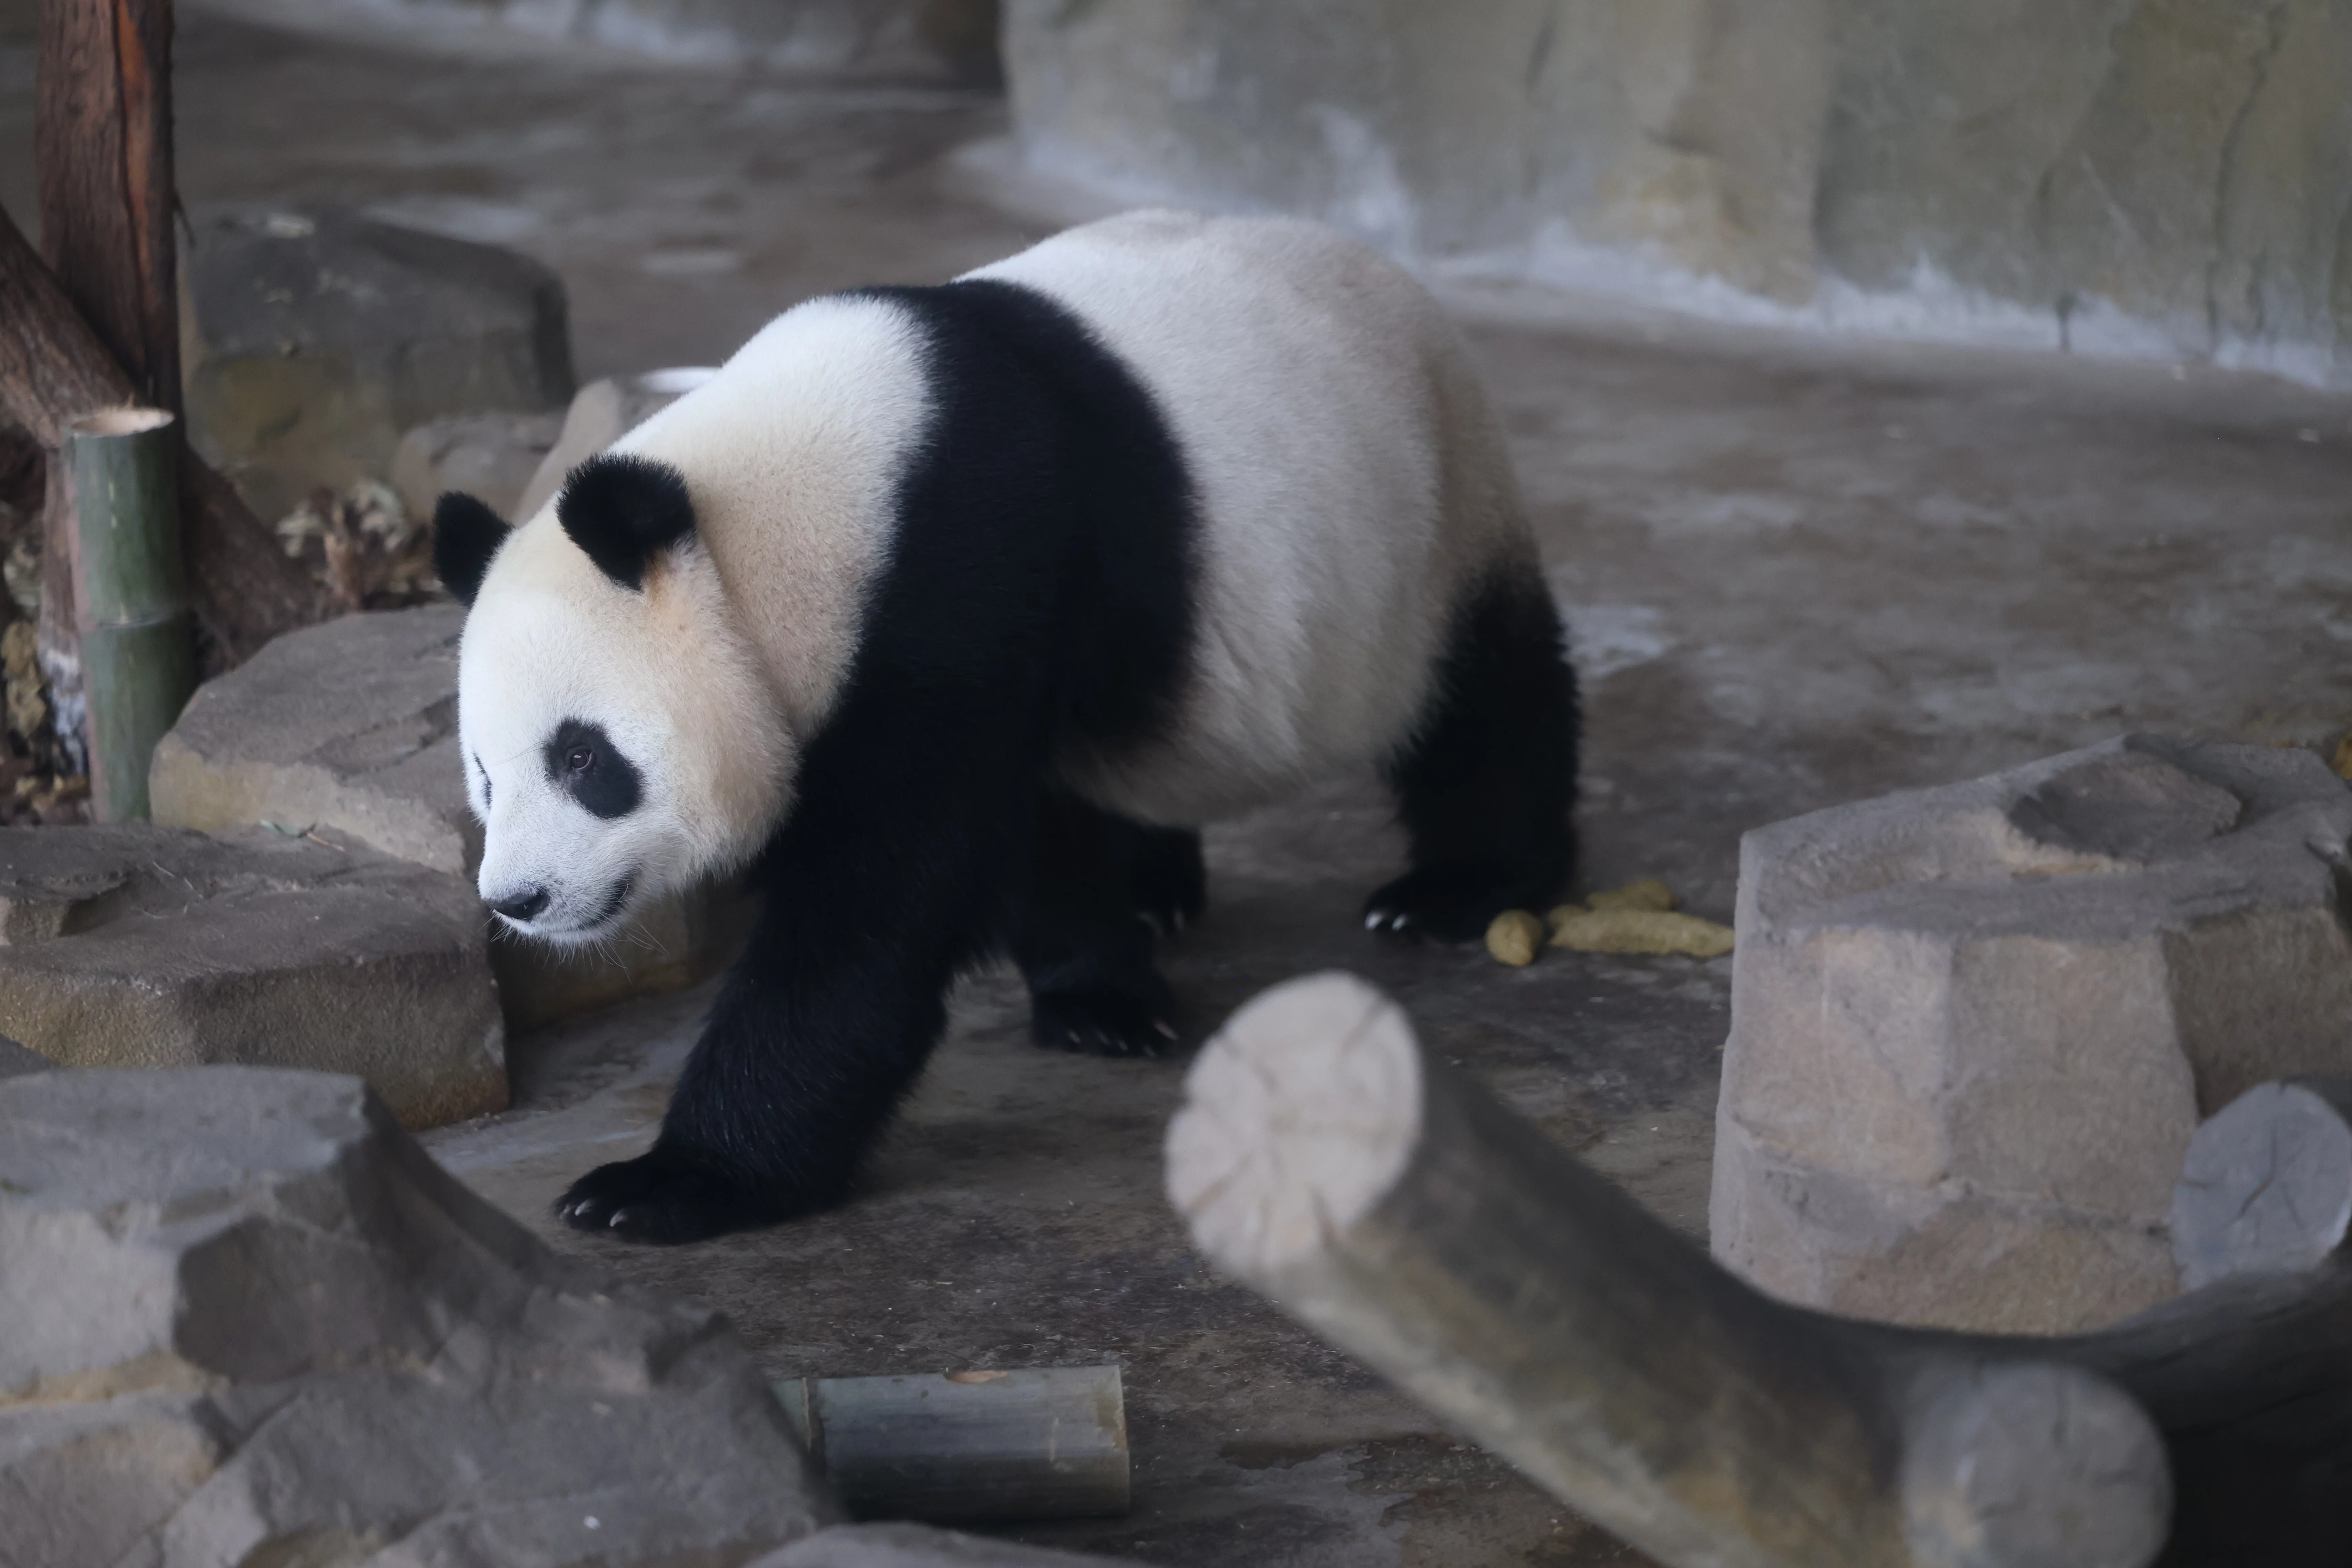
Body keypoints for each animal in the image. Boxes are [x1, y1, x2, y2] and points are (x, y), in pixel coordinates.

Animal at [434, 210, 1579, 1243]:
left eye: (585, 757)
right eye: (485, 774)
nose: (519, 899)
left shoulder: (962, 570)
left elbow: (881, 902)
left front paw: (668, 1184)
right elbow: (1030, 830)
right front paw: (1100, 996)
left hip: (1437, 514)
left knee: (1487, 701)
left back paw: (1457, 889)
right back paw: (1159, 888)